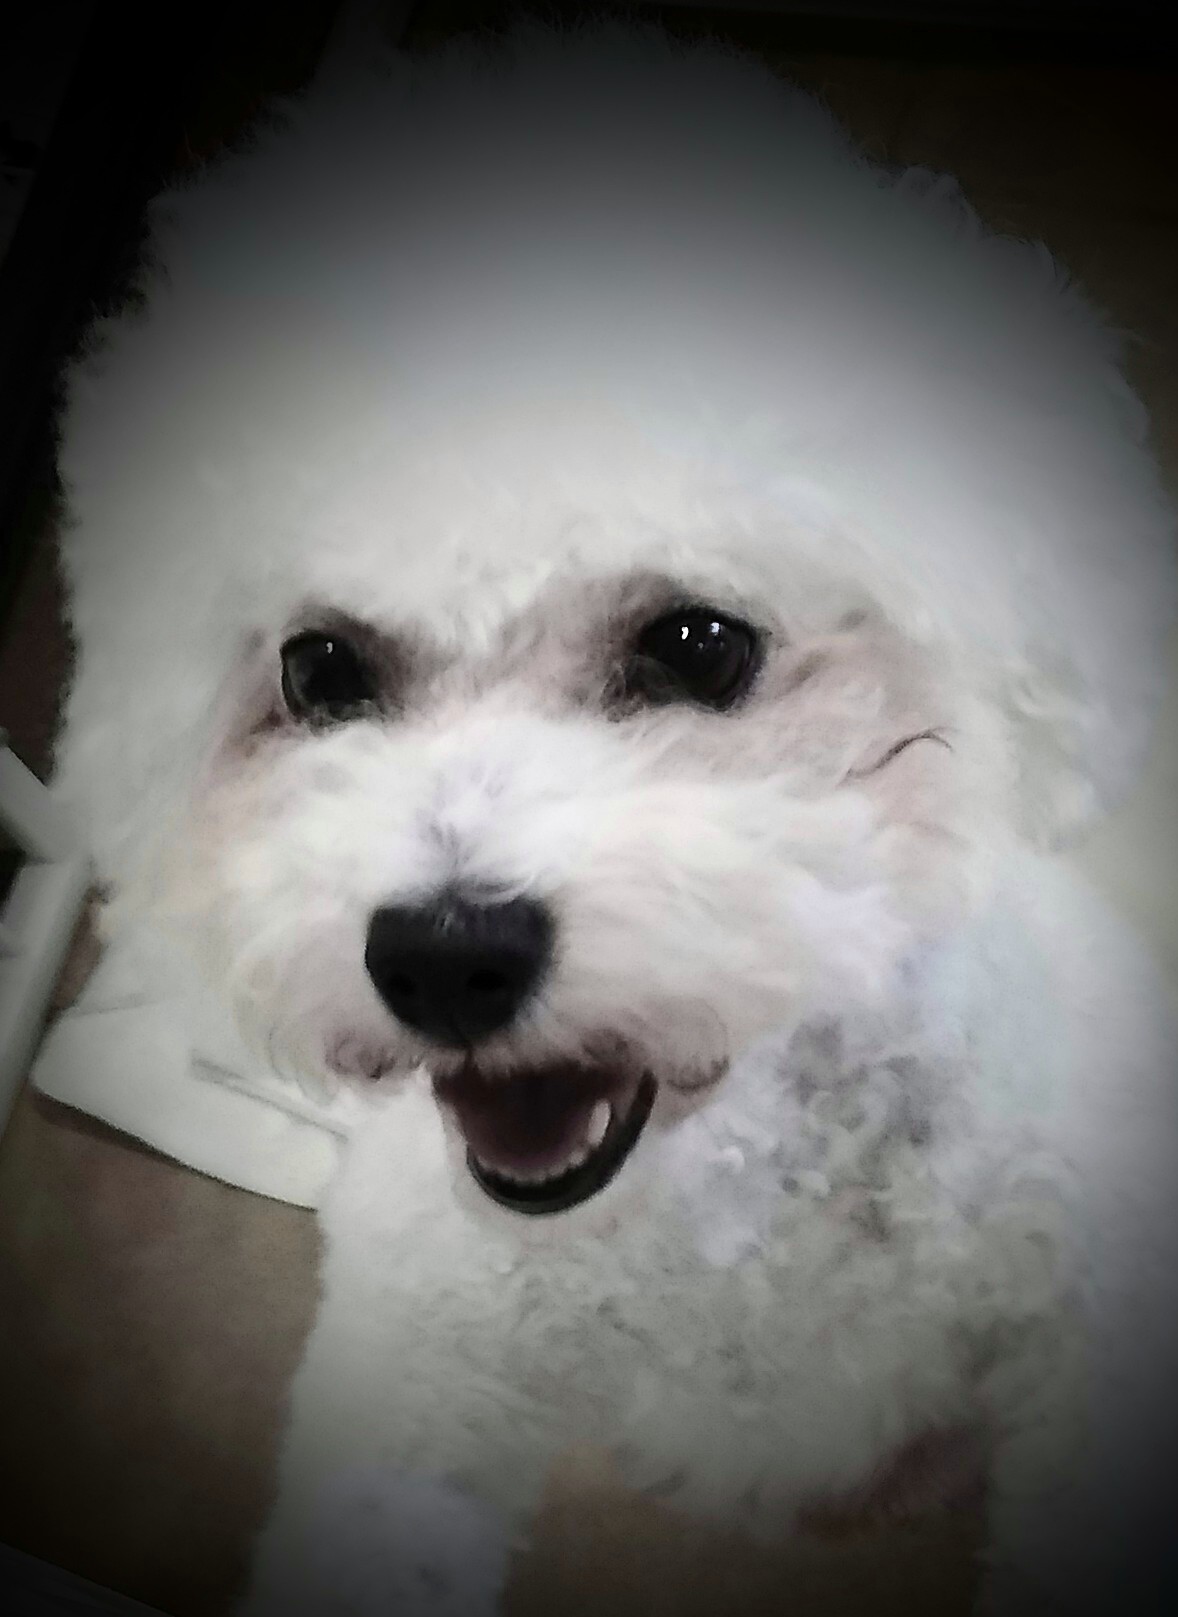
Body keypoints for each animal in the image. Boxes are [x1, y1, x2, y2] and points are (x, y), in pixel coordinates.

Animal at [53, 21, 1178, 1616]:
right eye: (318, 668)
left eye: (698, 646)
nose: (444, 958)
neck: (721, 1188)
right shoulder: (426, 1355)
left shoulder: (1086, 1330)